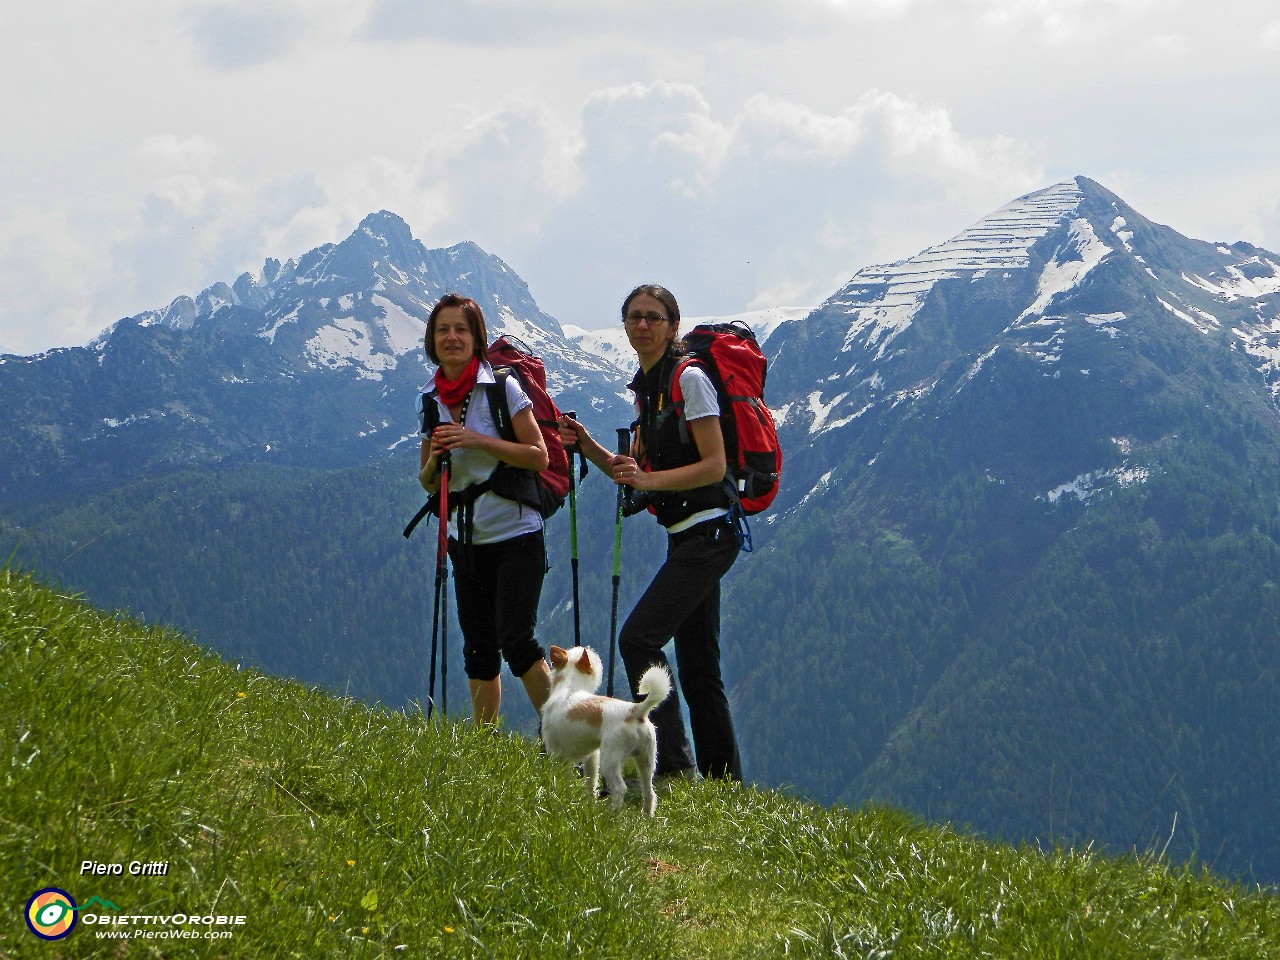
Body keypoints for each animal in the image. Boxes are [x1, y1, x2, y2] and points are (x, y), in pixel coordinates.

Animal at [540, 650, 670, 814]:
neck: (569, 687)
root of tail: (634, 711)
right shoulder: (592, 757)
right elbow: (590, 781)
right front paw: (589, 802)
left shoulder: (556, 755)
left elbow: (561, 777)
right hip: (646, 761)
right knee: (649, 792)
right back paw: (646, 816)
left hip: (610, 760)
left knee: (620, 788)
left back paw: (612, 814)